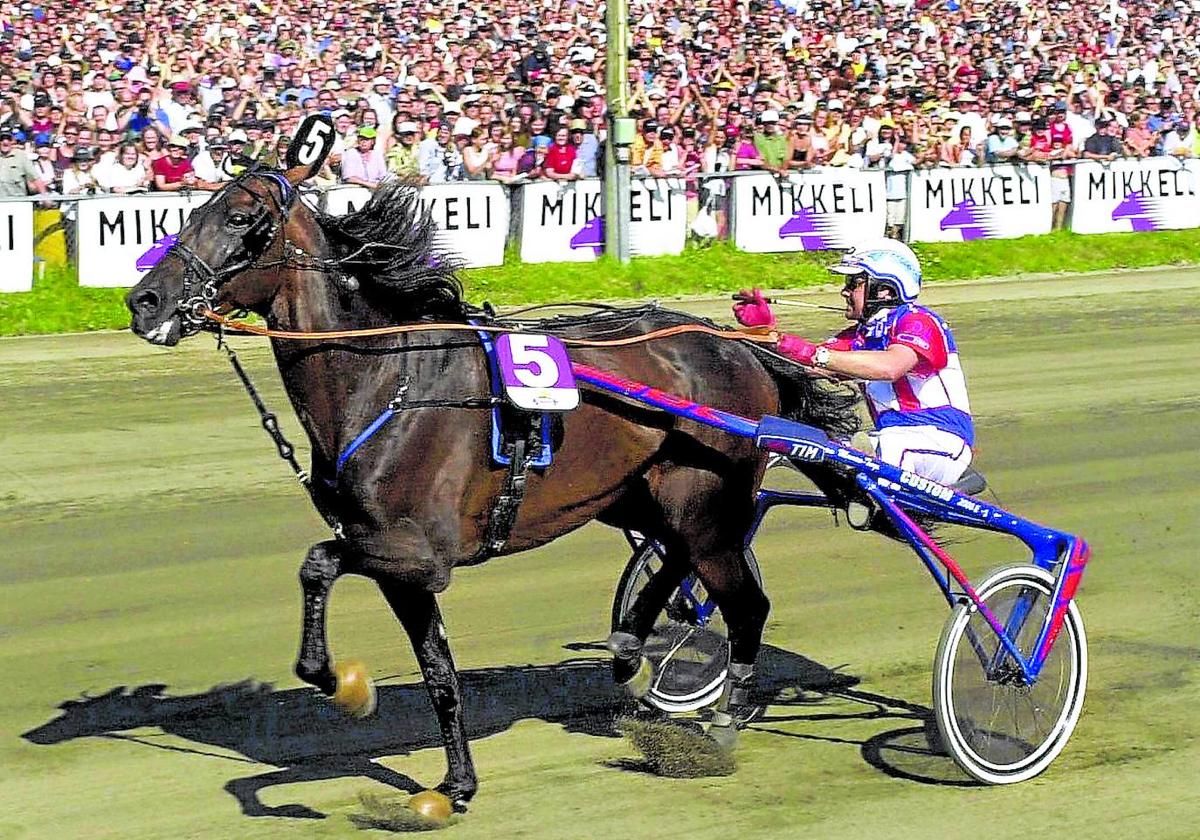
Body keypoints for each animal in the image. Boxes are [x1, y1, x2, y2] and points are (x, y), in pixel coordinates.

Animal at [126, 142, 859, 806]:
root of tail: (742, 349)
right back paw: (629, 646)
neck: (386, 382)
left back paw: (721, 724)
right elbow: (438, 676)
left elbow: (317, 564)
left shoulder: (419, 554)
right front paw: (456, 783)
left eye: (240, 217)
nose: (144, 299)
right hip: (639, 497)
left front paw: (345, 686)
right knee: (677, 561)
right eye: (196, 209)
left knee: (744, 604)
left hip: (705, 501)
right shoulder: (400, 571)